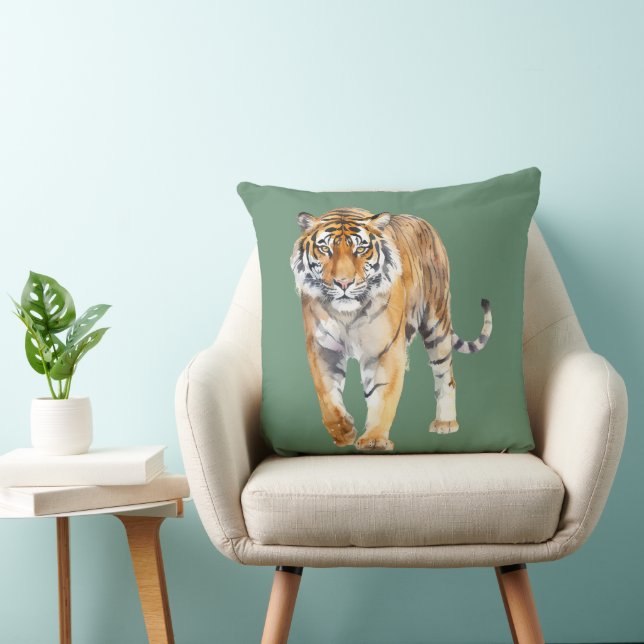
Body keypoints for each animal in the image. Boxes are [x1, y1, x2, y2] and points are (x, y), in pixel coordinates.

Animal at [290, 207, 492, 451]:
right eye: (325, 249)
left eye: (360, 249)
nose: (344, 283)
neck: (346, 315)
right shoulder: (322, 347)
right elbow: (327, 395)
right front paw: (344, 431)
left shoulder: (384, 349)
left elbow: (382, 395)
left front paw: (374, 440)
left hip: (437, 323)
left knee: (446, 376)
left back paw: (445, 423)